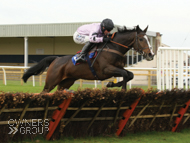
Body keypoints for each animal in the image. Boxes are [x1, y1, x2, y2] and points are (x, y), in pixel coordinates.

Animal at [21, 25, 154, 93]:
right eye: (141, 39)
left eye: (148, 39)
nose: (151, 54)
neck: (114, 48)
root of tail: (56, 59)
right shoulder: (106, 70)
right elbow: (125, 74)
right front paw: (116, 86)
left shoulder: (118, 68)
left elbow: (130, 74)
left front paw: (112, 84)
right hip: (51, 81)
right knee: (44, 92)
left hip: (66, 81)